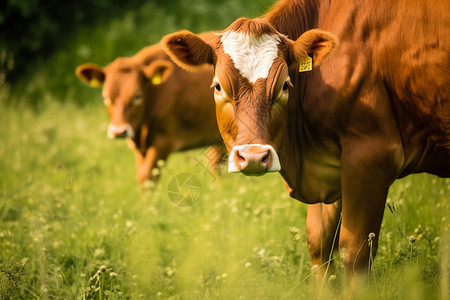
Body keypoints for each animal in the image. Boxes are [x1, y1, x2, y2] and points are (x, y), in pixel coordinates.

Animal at [163, 0, 450, 282]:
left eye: (285, 85)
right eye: (218, 86)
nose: (254, 157)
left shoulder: (371, 157)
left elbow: (355, 251)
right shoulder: (331, 163)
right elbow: (319, 244)